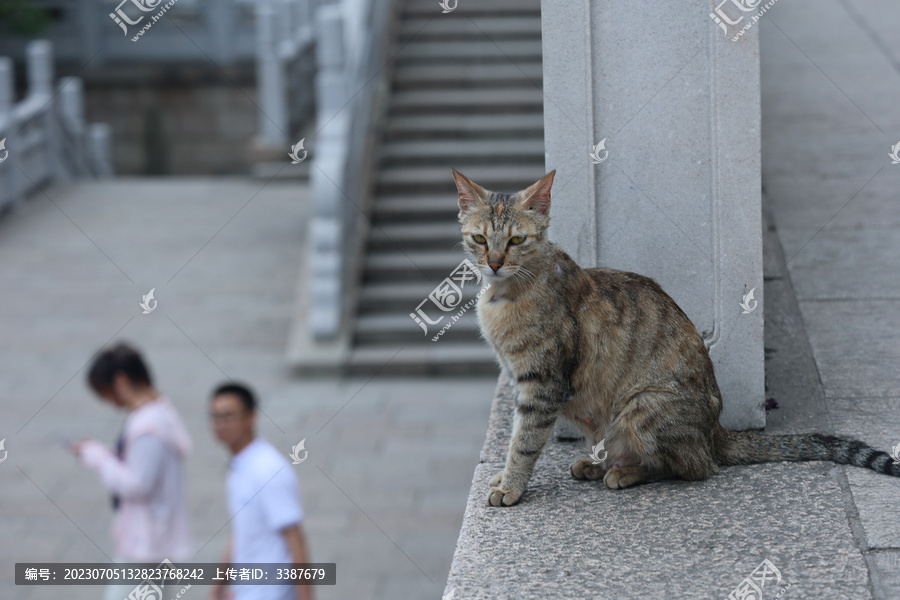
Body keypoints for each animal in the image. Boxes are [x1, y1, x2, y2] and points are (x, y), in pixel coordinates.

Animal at [454, 168, 900, 506]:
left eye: (516, 240)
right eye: (480, 239)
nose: (494, 263)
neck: (505, 293)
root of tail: (715, 431)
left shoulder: (543, 382)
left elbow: (524, 441)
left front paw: (511, 486)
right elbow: (517, 434)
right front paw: (506, 479)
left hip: (640, 405)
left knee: (693, 467)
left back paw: (625, 472)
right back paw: (597, 463)